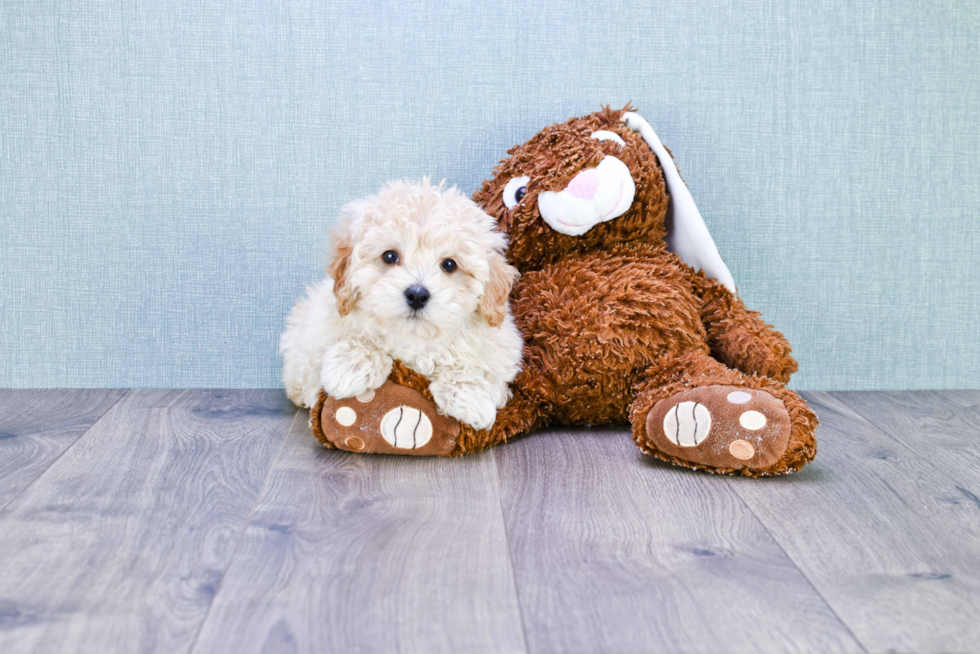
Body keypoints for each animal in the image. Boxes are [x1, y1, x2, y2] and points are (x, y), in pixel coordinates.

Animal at [280, 182, 524, 434]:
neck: (415, 338)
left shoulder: (499, 350)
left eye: (449, 264)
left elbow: (478, 369)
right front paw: (350, 367)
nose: (417, 295)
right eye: (389, 256)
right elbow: (353, 342)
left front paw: (470, 396)